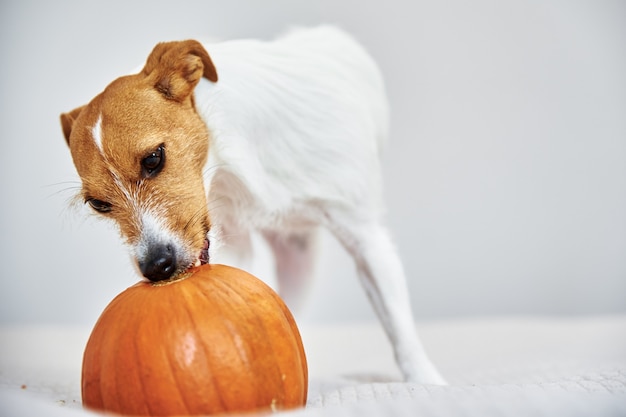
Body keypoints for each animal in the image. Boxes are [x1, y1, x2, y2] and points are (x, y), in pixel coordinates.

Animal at [59, 26, 444, 384]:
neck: (231, 159)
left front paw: (425, 382)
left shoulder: (366, 236)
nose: (156, 267)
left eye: (153, 159)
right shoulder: (233, 242)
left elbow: (397, 321)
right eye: (98, 204)